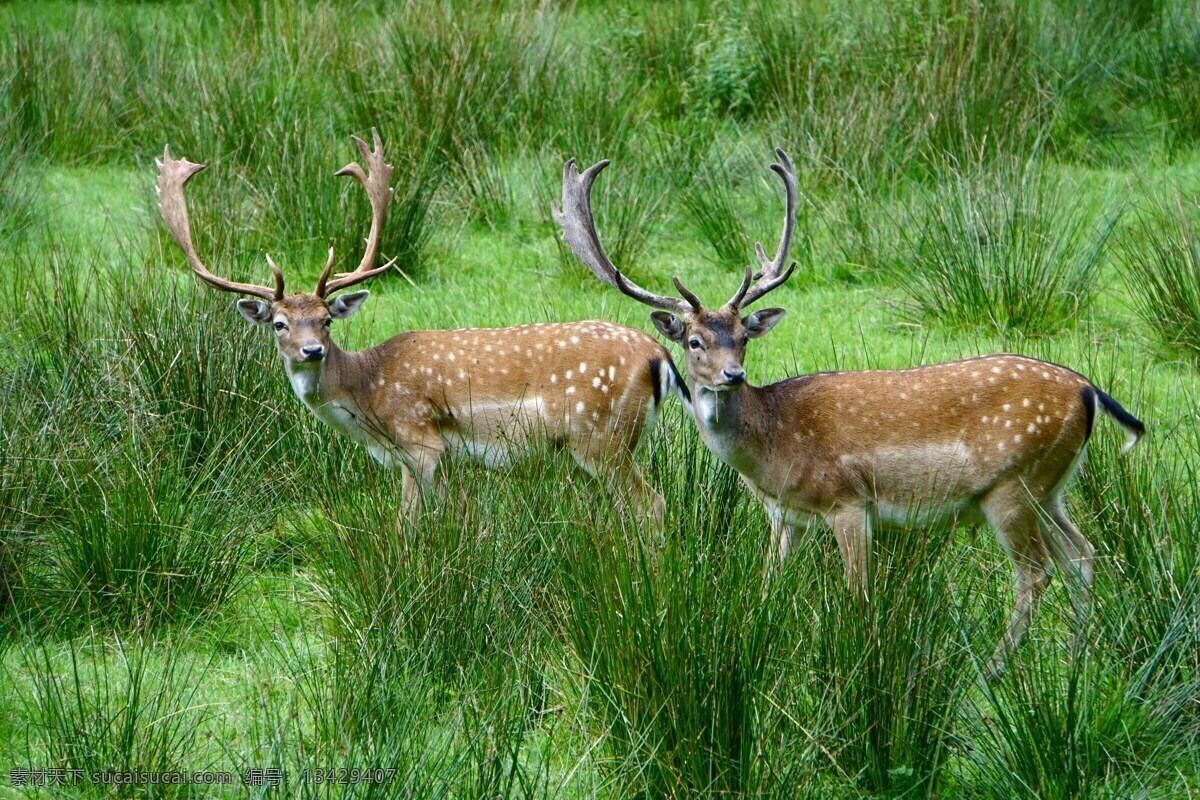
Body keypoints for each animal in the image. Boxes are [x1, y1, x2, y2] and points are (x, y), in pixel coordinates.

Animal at [156, 131, 688, 526]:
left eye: (326, 321)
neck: (367, 401)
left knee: (653, 504)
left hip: (602, 438)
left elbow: (408, 524)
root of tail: (660, 356)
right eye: (280, 324)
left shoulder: (420, 443)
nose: (312, 352)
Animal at [554, 149, 1146, 672]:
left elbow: (858, 594)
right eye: (695, 341)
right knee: (1084, 556)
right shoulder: (785, 516)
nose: (733, 376)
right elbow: (768, 586)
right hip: (1051, 487)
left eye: (743, 338)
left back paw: (993, 672)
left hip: (1012, 485)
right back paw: (1076, 663)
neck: (773, 450)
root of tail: (1090, 391)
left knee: (1037, 574)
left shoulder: (849, 501)